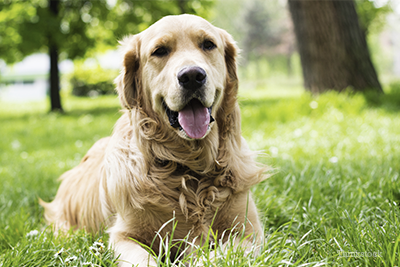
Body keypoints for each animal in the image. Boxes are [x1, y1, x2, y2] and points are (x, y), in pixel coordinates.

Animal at [40, 15, 268, 267]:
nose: (192, 76)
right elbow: (142, 258)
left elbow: (219, 256)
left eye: (208, 44)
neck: (189, 167)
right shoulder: (124, 236)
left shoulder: (248, 232)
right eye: (160, 51)